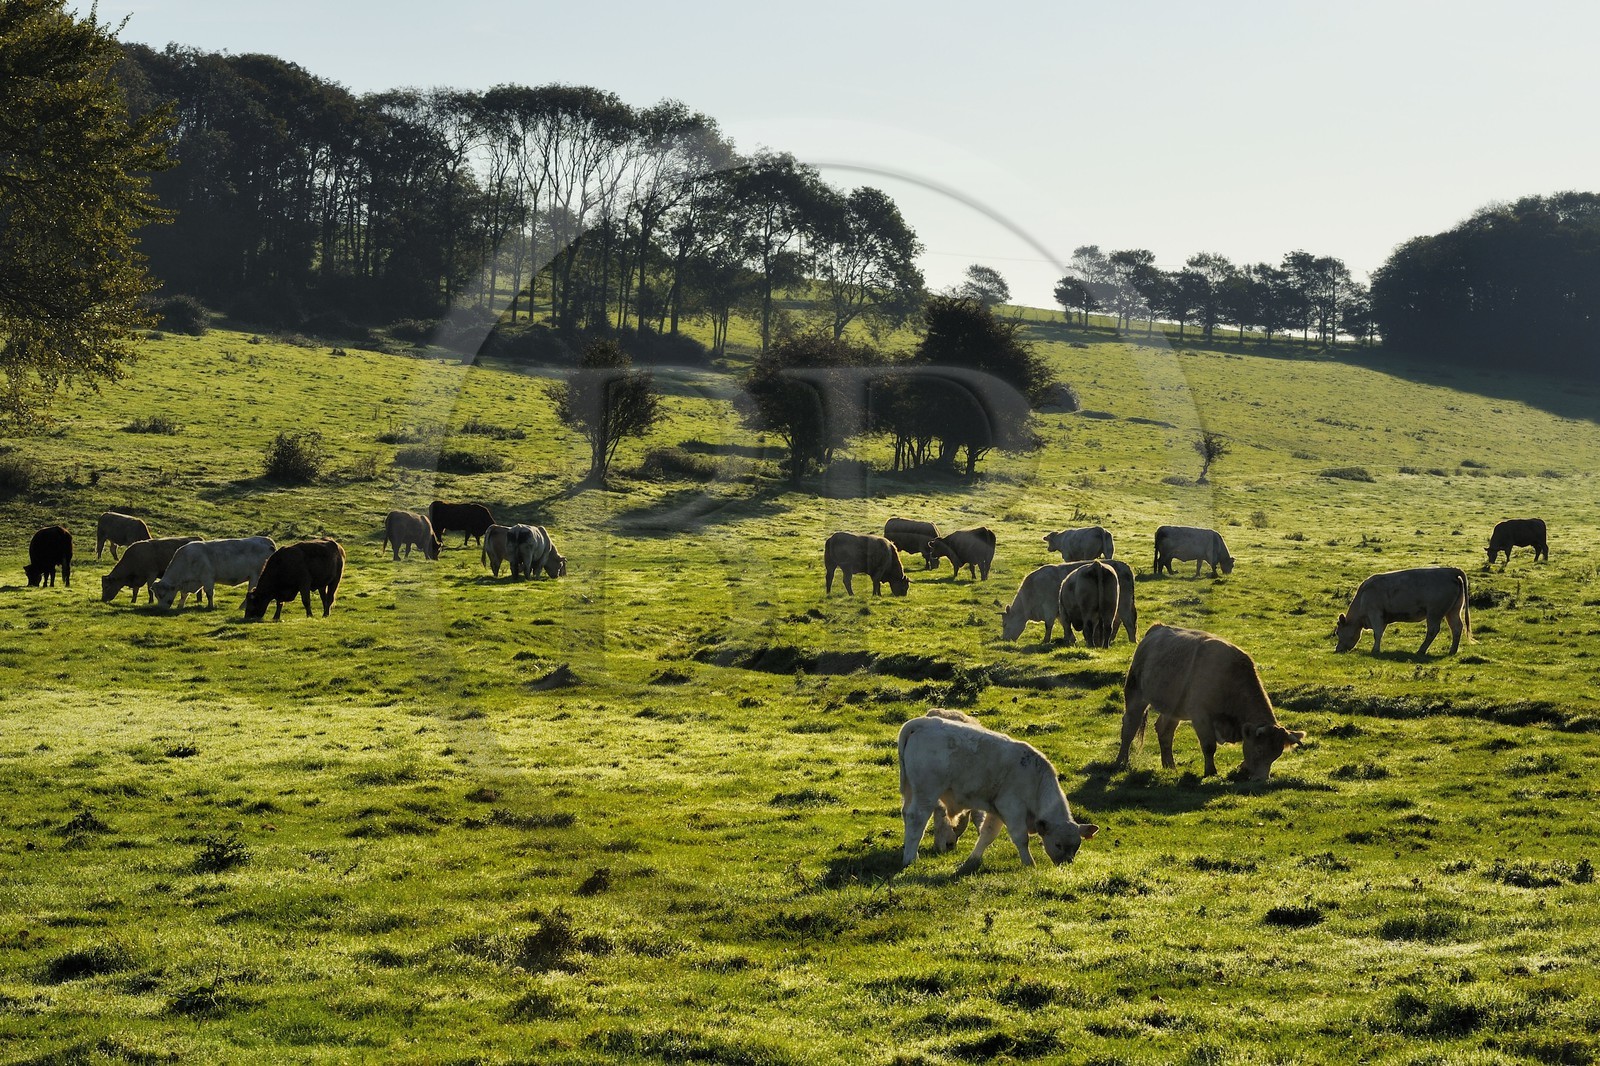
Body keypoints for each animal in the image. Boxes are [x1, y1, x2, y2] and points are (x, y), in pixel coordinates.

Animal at [898, 710, 1098, 872]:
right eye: (1058, 844)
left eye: (1077, 846)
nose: (1066, 864)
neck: (1036, 779)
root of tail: (923, 723)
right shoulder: (1011, 807)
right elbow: (1021, 838)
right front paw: (1029, 864)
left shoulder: (996, 810)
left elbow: (987, 834)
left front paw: (972, 859)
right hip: (927, 793)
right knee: (917, 818)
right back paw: (911, 858)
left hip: (911, 791)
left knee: (906, 813)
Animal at [1002, 559, 1138, 644]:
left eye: (1005, 624)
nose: (1004, 639)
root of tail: (1125, 566)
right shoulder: (1060, 611)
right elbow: (1064, 623)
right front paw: (1072, 639)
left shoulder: (1049, 608)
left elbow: (1049, 625)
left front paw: (1046, 640)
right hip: (1115, 607)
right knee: (1116, 621)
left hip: (1123, 604)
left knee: (1128, 622)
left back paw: (1132, 641)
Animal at [1118, 623, 1306, 781]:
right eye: (1259, 749)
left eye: (1277, 754)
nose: (1261, 779)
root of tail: (1157, 628)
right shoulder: (1201, 716)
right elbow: (1209, 746)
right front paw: (1211, 772)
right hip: (1135, 694)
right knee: (1129, 726)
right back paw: (1121, 761)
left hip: (1174, 708)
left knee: (1165, 731)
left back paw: (1170, 767)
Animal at [1334, 566, 1470, 656]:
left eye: (1338, 632)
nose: (1337, 649)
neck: (1363, 596)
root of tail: (1450, 571)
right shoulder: (1383, 618)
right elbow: (1380, 632)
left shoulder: (1375, 614)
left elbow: (1377, 633)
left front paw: (1375, 650)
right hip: (1453, 611)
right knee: (1457, 627)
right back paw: (1452, 651)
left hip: (1434, 613)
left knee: (1433, 630)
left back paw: (1421, 650)